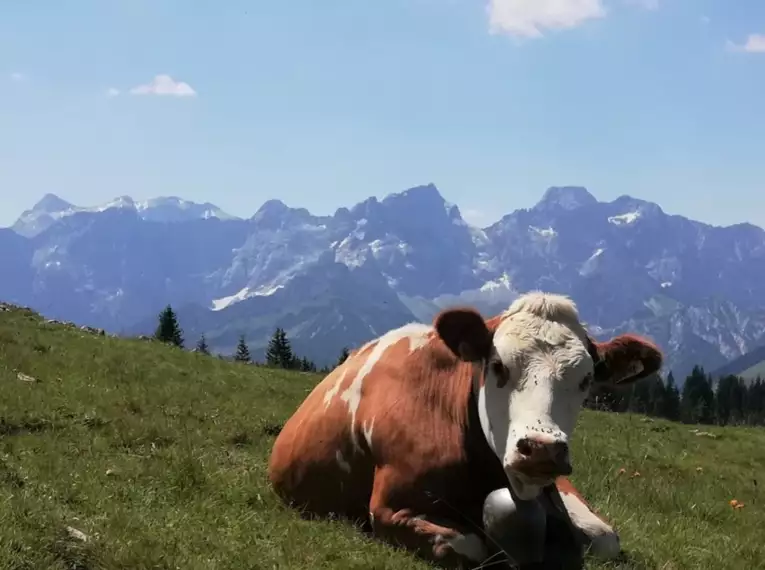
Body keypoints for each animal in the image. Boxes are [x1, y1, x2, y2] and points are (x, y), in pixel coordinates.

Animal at [266, 290, 660, 564]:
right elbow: (472, 545)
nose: (542, 449)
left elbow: (605, 537)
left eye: (586, 380)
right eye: (498, 365)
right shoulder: (388, 507)